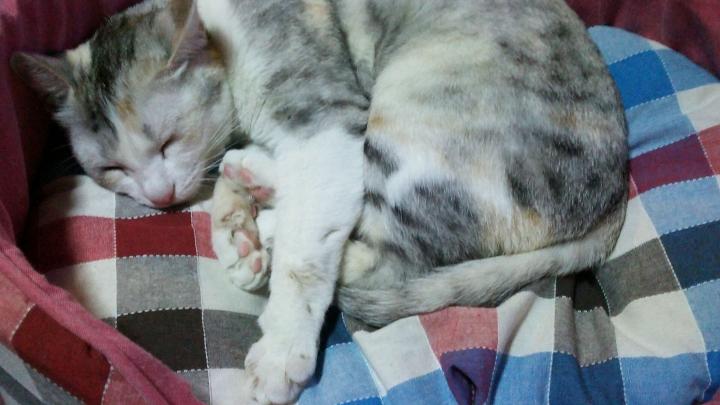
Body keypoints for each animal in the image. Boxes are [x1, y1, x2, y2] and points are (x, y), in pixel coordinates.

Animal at [12, 0, 628, 403]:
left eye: (167, 141)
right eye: (112, 169)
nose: (158, 196)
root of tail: (615, 190)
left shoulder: (326, 126)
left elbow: (306, 259)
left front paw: (282, 348)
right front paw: (235, 234)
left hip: (416, 114)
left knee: (384, 251)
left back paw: (273, 218)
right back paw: (255, 189)